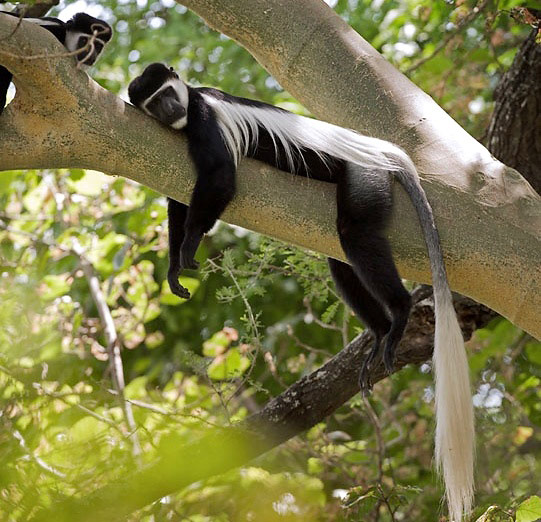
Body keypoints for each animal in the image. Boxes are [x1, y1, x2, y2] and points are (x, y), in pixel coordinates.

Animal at [126, 63, 472, 516]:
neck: (191, 106)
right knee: (341, 262)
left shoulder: (204, 118)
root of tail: (380, 148)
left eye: (168, 93)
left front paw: (188, 247)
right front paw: (172, 269)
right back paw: (380, 333)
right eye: (153, 104)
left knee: (355, 233)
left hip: (365, 177)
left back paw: (398, 315)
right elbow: (178, 201)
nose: (169, 110)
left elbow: (219, 178)